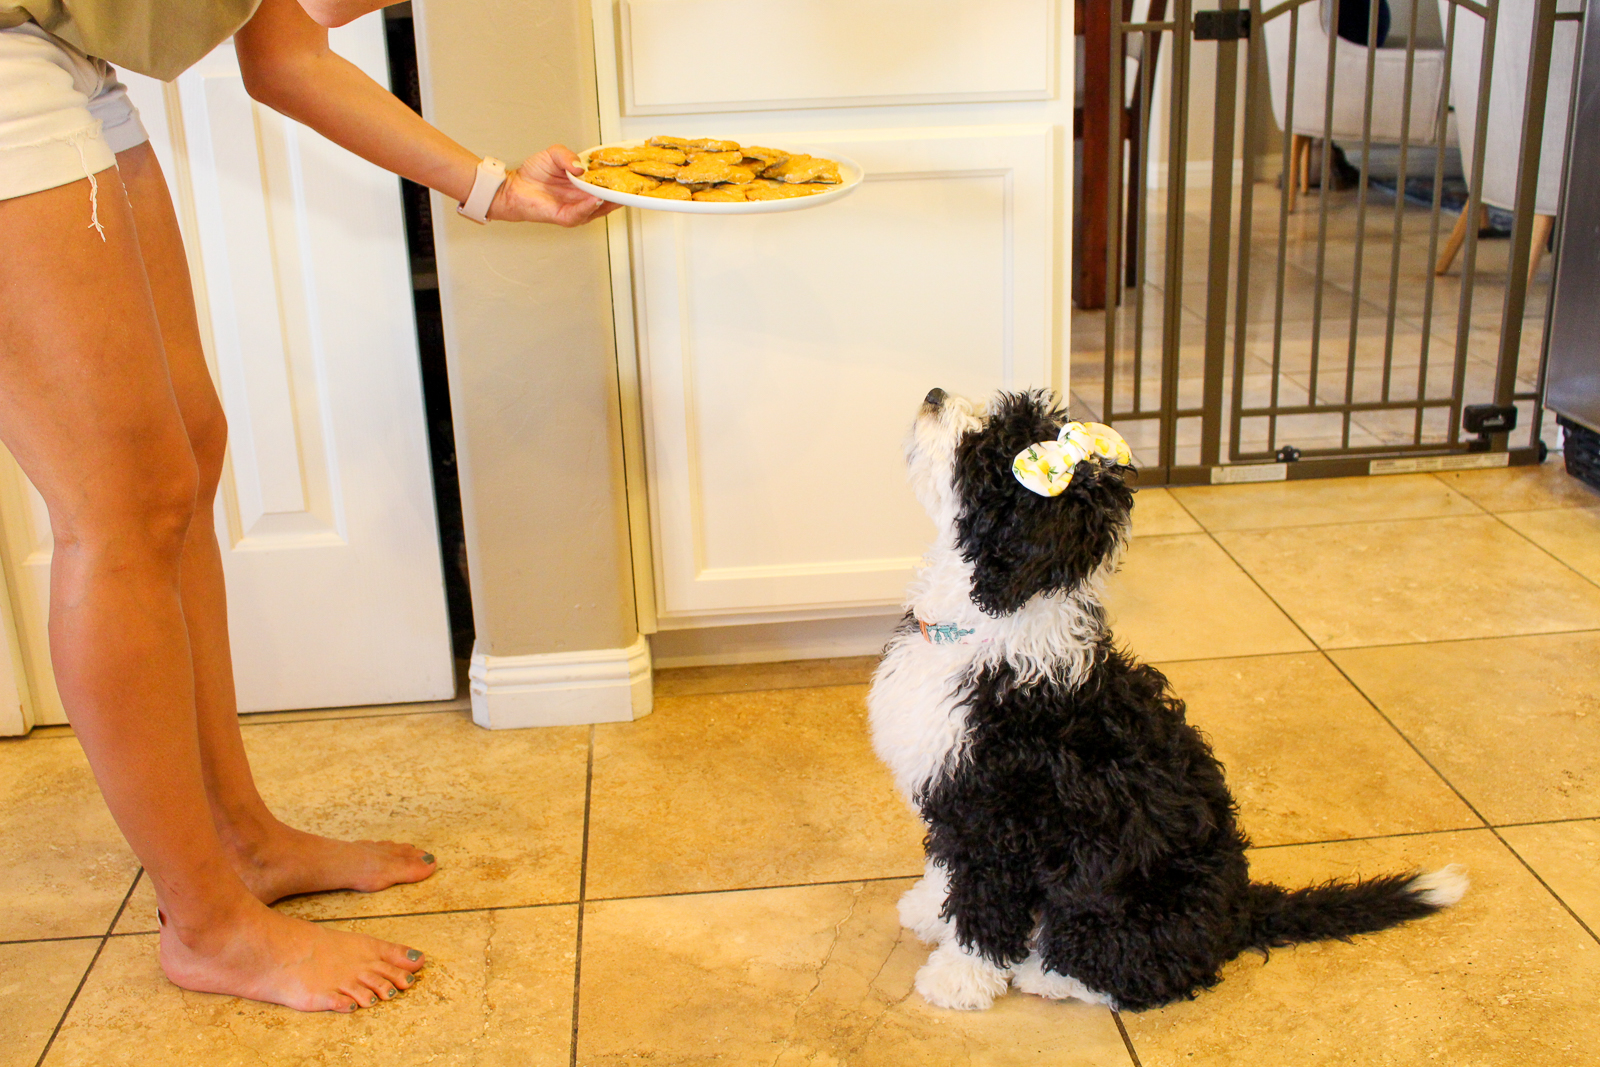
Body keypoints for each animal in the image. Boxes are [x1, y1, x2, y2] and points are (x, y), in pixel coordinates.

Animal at [870, 388, 1465, 1017]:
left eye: (986, 450)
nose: (934, 394)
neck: (983, 628)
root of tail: (1239, 911)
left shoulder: (1000, 815)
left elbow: (985, 900)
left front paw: (959, 977)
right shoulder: (949, 792)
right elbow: (946, 865)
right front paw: (929, 910)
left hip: (1123, 904)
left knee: (1145, 970)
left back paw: (1050, 974)